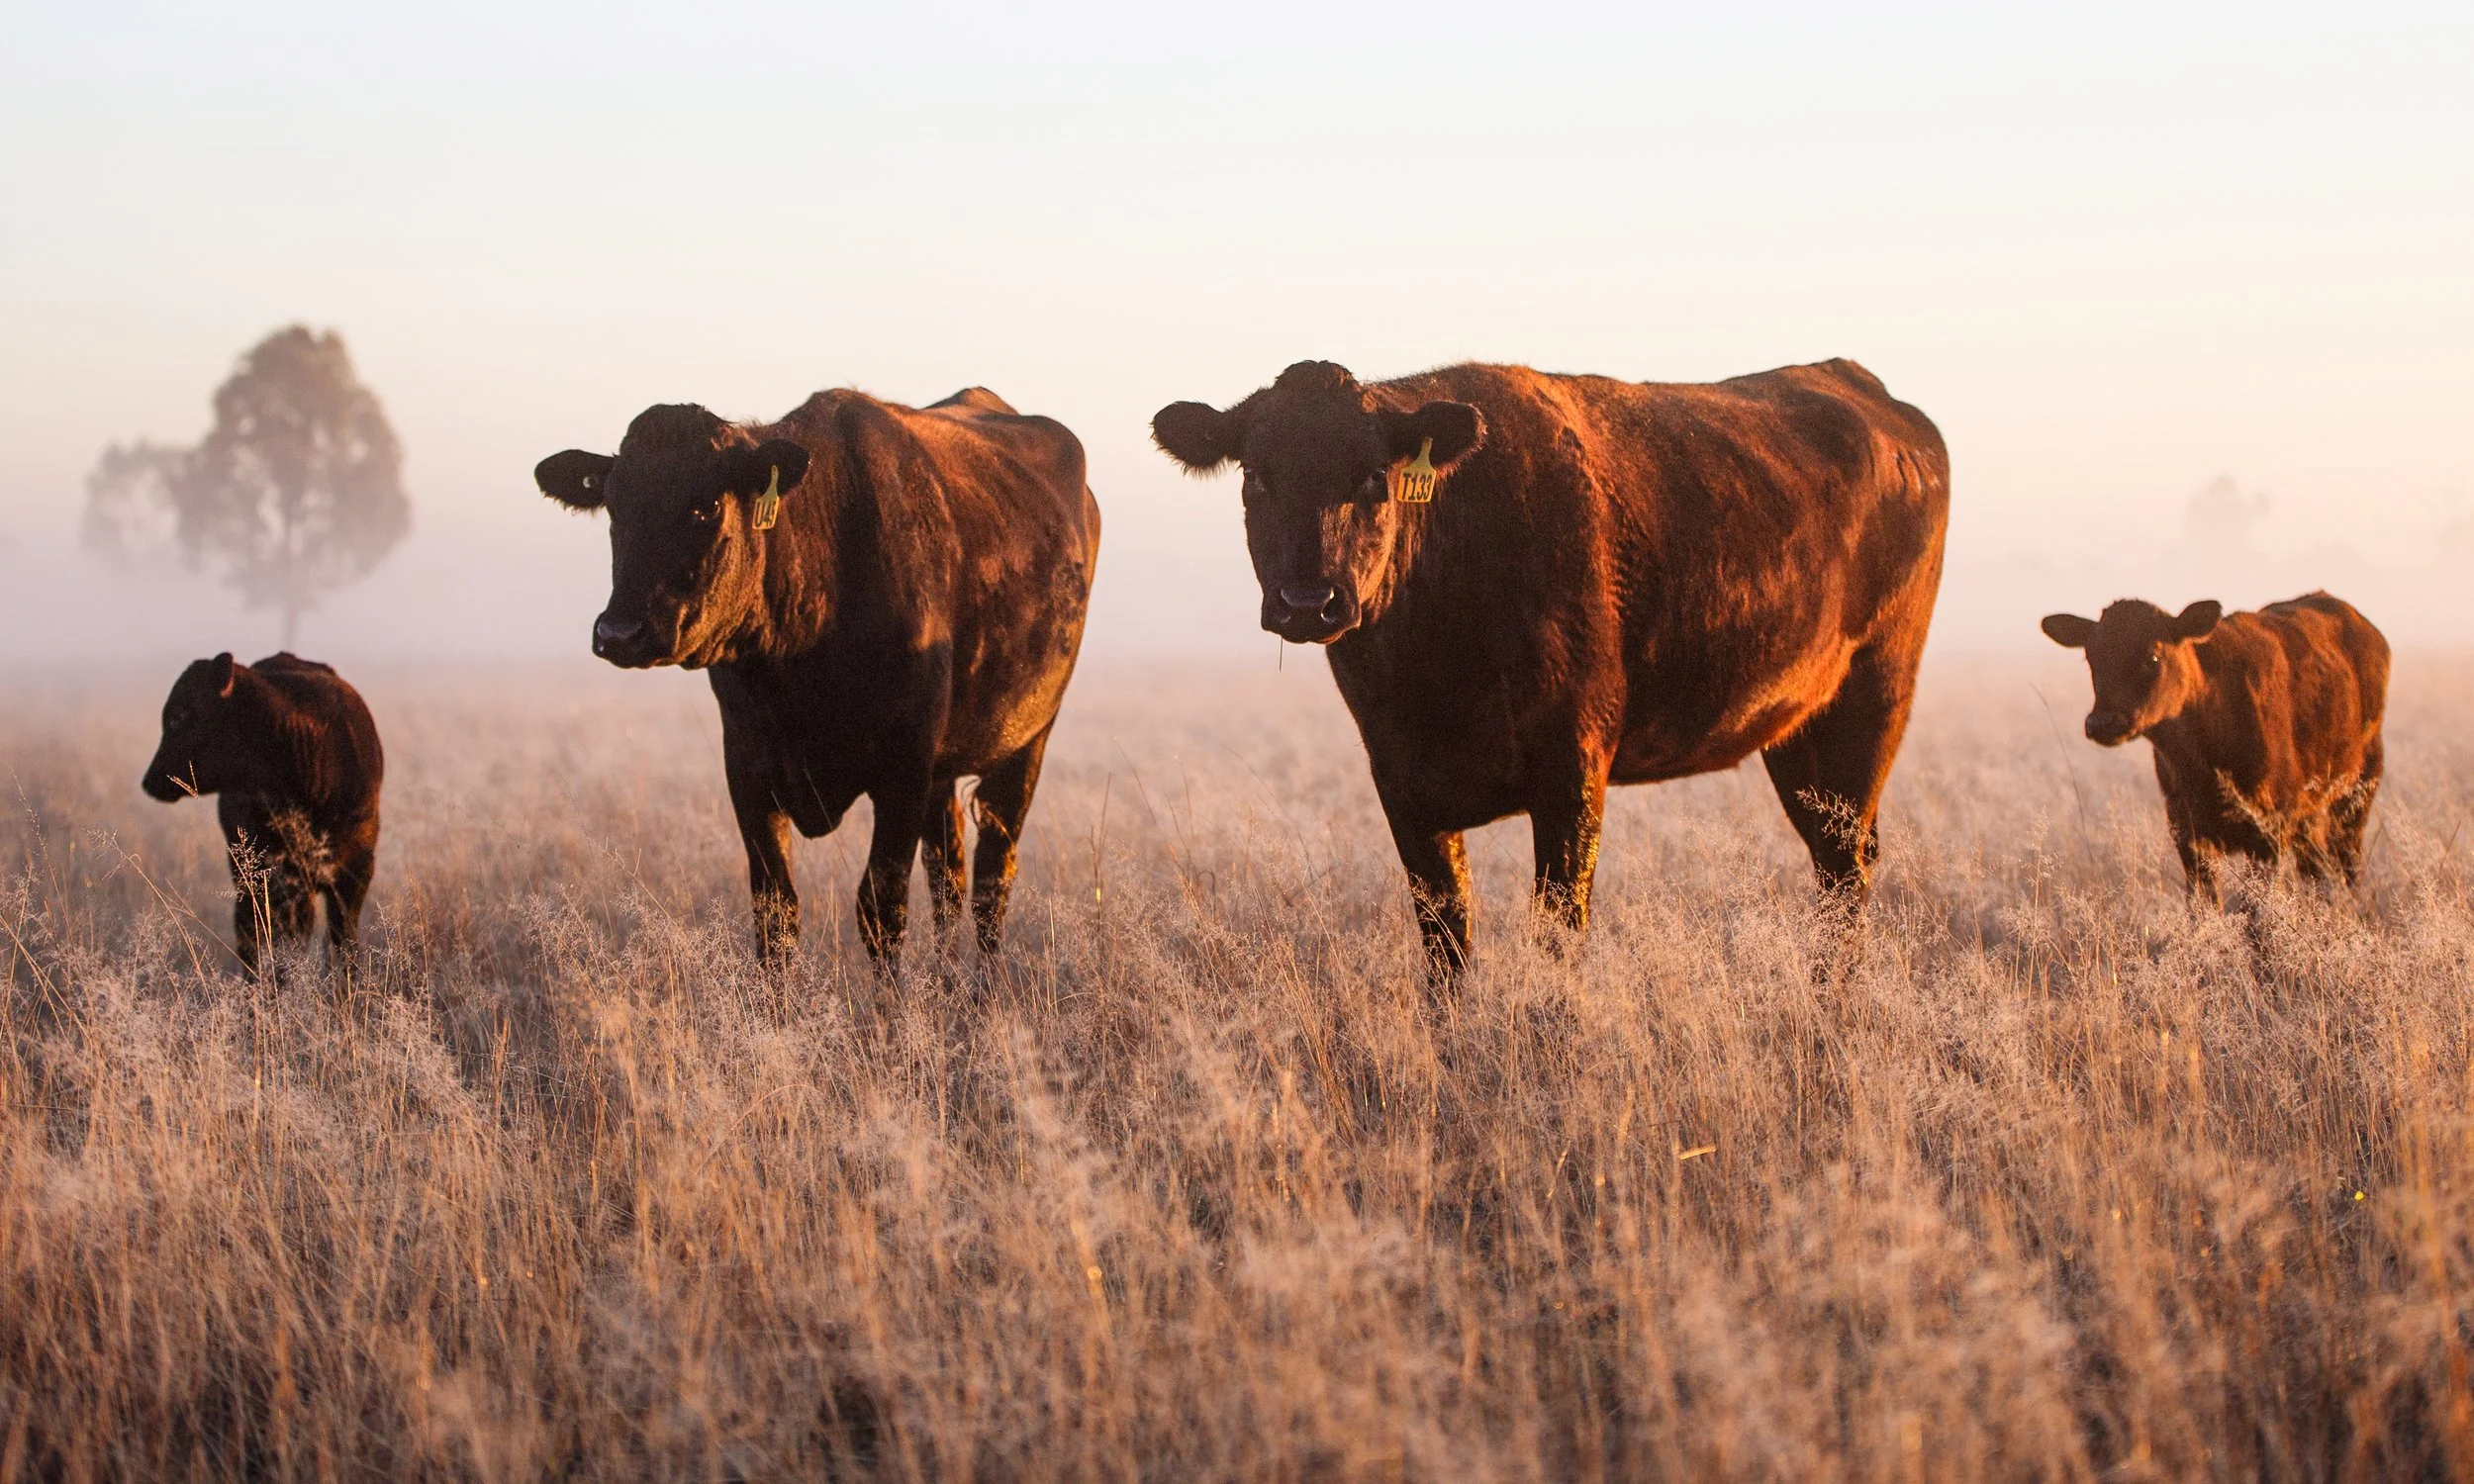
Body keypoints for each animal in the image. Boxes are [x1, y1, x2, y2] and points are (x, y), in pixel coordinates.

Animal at [140, 651, 384, 972]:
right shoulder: (283, 875)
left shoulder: (357, 869)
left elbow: (345, 940)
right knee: (251, 929)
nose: (149, 780)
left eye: (178, 716)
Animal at [534, 387, 1100, 963]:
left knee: (992, 878)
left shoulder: (904, 767)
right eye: (614, 507)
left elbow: (881, 907)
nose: (619, 632)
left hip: (1029, 739)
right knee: (949, 876)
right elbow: (775, 910)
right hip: (943, 775)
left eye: (707, 505)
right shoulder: (748, 765)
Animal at [1151, 358, 1948, 976]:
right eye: (1256, 477)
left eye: (1375, 476)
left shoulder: (1574, 770)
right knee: (1834, 861)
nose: (1308, 601)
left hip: (1875, 695)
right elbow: (1448, 947)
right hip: (1799, 731)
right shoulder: (1403, 786)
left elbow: (1559, 936)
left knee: (1845, 871)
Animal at [2040, 592, 2388, 896]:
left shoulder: (2269, 830)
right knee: (2317, 871)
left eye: (2152, 657)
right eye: (2091, 658)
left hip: (2359, 789)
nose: (2102, 723)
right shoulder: (2186, 829)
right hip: (2310, 814)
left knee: (2347, 868)